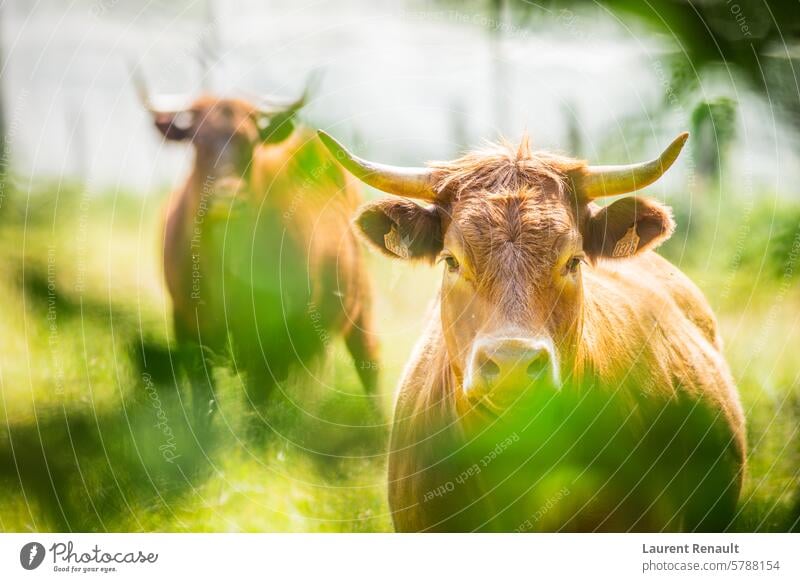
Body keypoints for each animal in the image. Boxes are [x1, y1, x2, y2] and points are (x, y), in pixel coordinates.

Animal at [136, 78, 380, 428]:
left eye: (250, 144)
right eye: (197, 141)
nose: (227, 198)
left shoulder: (271, 336)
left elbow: (258, 400)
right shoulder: (185, 321)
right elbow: (204, 395)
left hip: (362, 310)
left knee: (369, 367)